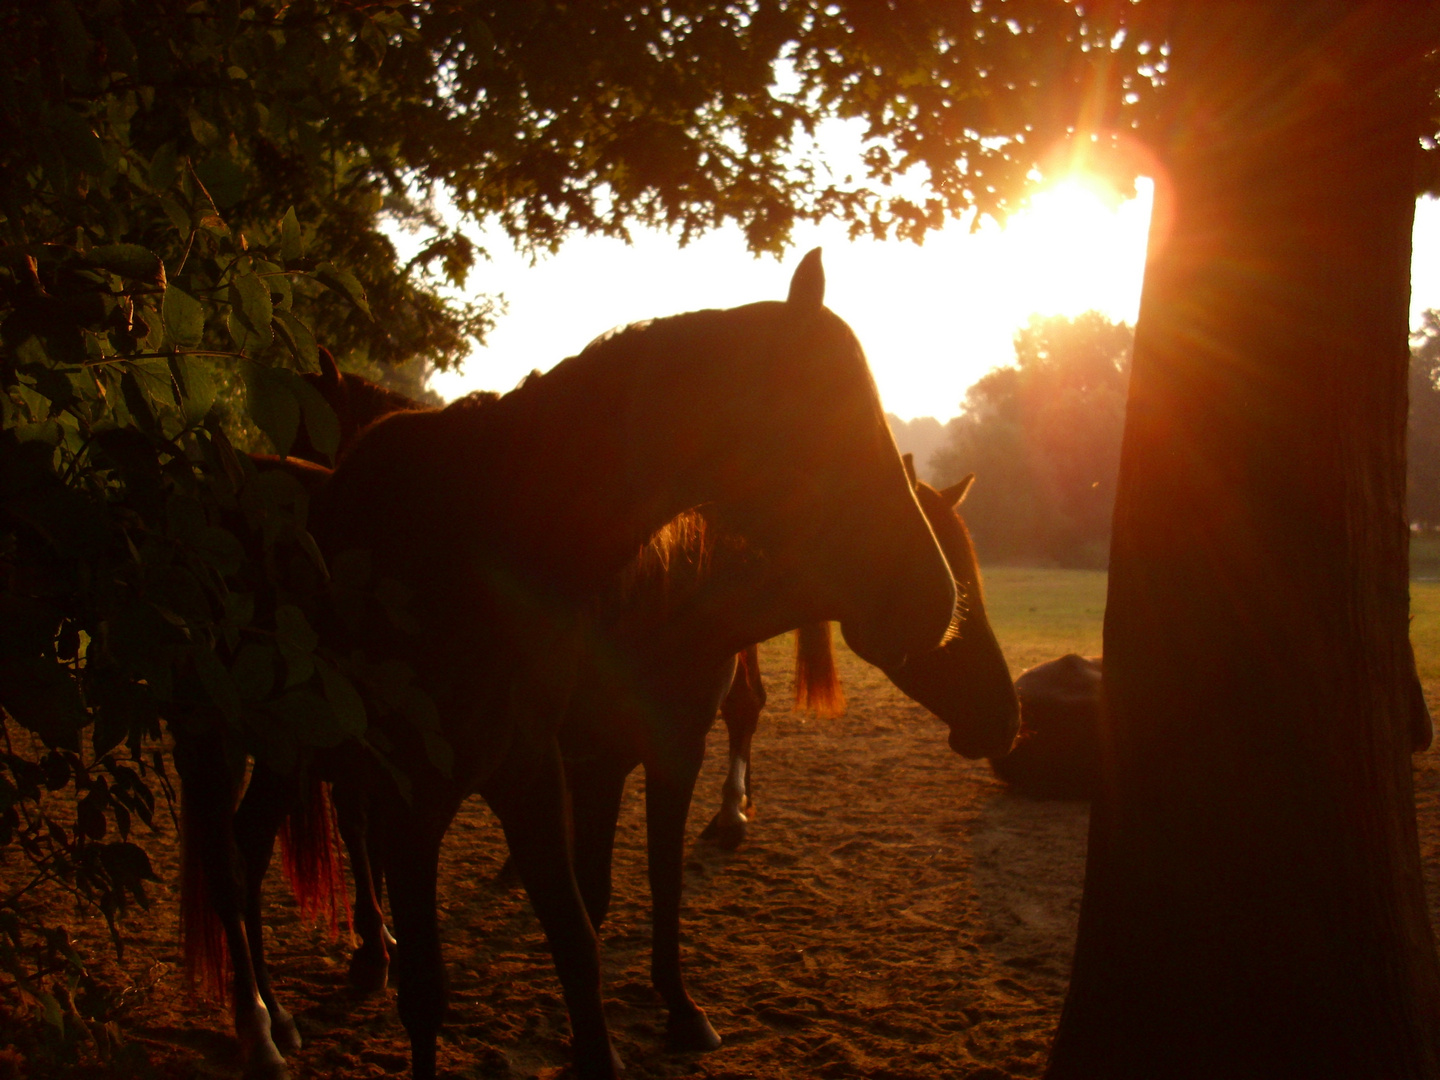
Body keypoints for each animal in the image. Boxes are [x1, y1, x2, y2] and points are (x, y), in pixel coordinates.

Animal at [299, 244, 956, 1080]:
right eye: (831, 418)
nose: (937, 599)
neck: (469, 535)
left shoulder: (539, 768)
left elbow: (584, 936)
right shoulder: (419, 796)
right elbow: (429, 990)